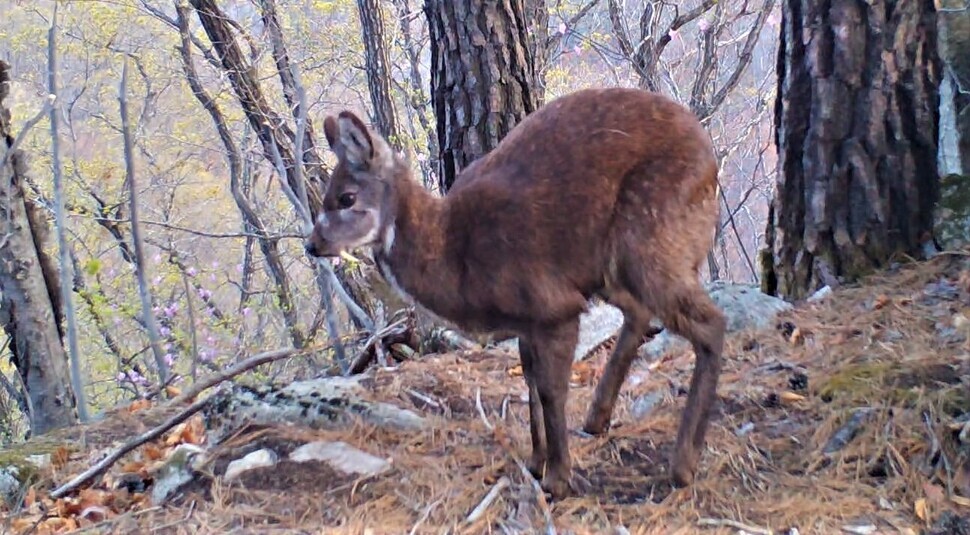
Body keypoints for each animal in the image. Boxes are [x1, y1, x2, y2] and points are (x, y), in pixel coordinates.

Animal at [306, 87, 724, 498]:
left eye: (346, 197)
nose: (313, 246)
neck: (456, 255)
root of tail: (710, 155)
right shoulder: (527, 320)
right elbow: (530, 383)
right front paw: (536, 463)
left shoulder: (554, 306)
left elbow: (552, 390)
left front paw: (558, 480)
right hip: (610, 266)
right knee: (641, 313)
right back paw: (597, 419)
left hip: (651, 236)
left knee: (710, 324)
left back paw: (683, 465)